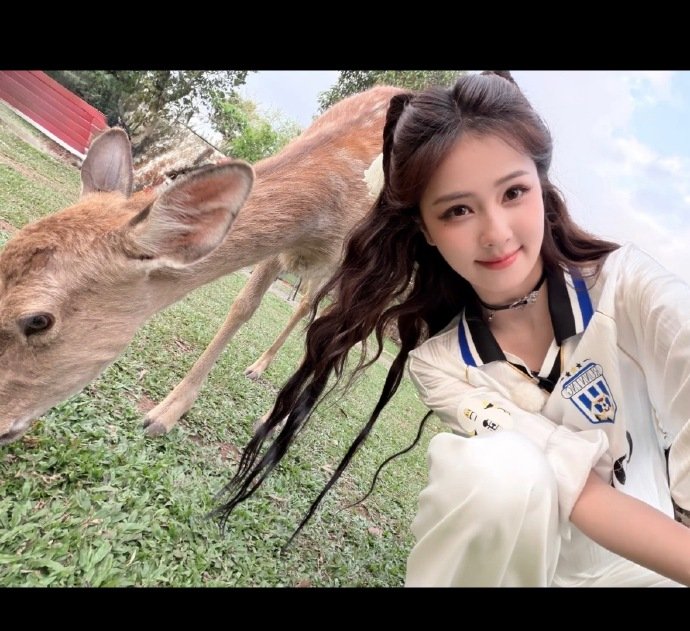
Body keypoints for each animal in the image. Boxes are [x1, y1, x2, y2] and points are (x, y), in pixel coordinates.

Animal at [0, 85, 403, 446]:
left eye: (38, 320)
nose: (1, 424)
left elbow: (335, 340)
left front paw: (272, 421)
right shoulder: (279, 249)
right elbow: (242, 306)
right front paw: (164, 414)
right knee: (304, 306)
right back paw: (258, 366)